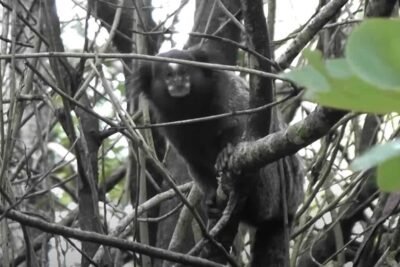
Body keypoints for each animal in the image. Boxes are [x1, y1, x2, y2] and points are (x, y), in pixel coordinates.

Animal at [134, 48, 304, 267]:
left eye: (185, 72)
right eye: (169, 75)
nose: (179, 82)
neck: (190, 108)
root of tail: (290, 208)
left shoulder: (230, 89)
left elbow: (244, 126)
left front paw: (226, 153)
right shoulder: (171, 125)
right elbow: (194, 162)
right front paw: (210, 198)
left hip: (275, 192)